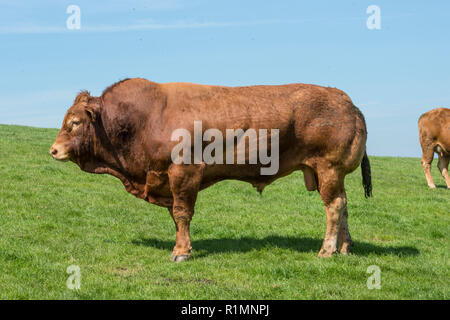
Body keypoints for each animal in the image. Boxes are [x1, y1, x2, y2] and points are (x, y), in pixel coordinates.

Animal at [50, 78, 372, 262]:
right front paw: (183, 245)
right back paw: (345, 248)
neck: (143, 119)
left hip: (329, 168)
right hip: (329, 173)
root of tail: (344, 99)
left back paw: (327, 251)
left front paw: (181, 252)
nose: (53, 149)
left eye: (75, 122)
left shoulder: (184, 172)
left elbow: (182, 213)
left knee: (334, 206)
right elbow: (176, 215)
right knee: (344, 205)